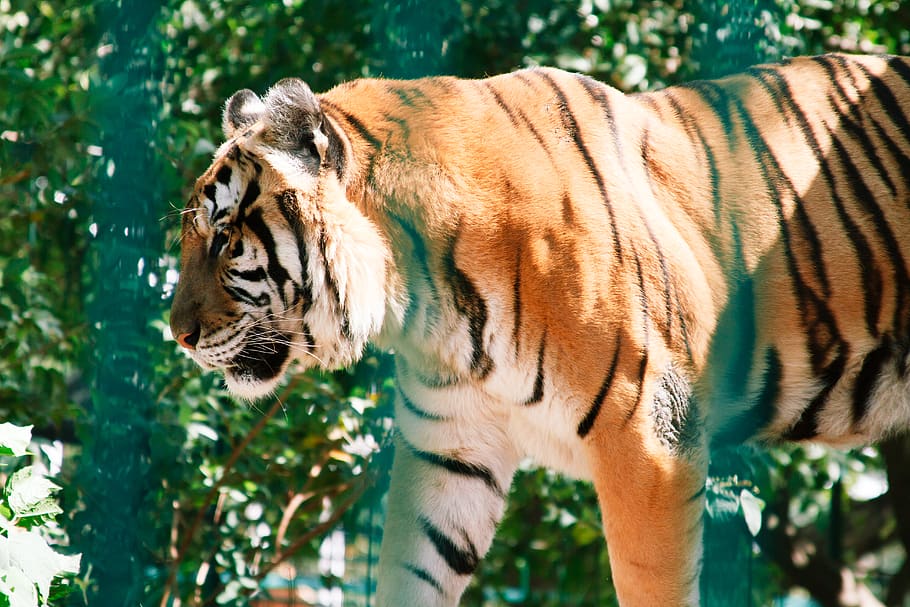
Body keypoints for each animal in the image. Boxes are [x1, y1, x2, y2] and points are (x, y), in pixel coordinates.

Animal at [169, 53, 910, 606]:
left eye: (225, 235)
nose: (178, 335)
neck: (422, 302)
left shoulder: (647, 440)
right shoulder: (450, 444)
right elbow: (411, 571)